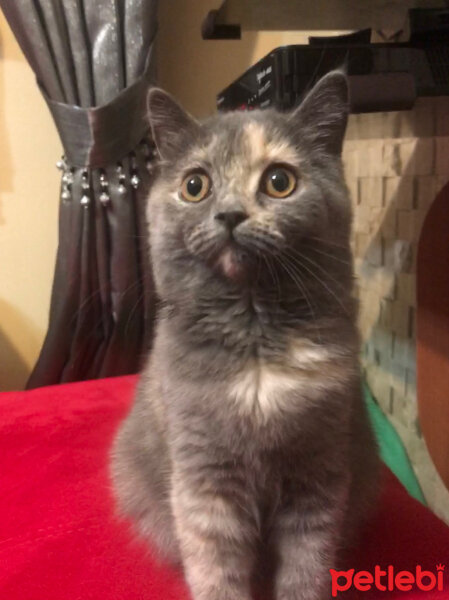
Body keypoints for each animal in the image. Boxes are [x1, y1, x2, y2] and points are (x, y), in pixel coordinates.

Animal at [110, 71, 380, 600]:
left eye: (279, 181)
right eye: (195, 185)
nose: (231, 215)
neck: (256, 344)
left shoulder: (318, 470)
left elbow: (307, 566)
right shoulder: (204, 476)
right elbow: (216, 569)